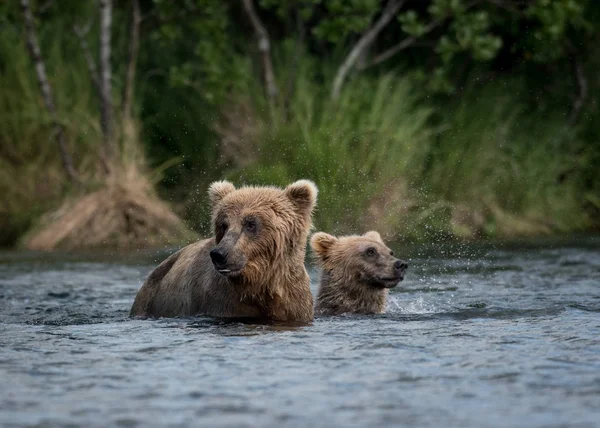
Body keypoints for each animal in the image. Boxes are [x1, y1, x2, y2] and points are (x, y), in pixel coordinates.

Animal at [131, 179, 318, 322]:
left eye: (250, 223)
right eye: (223, 224)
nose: (219, 254)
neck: (261, 283)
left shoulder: (294, 301)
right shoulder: (225, 302)